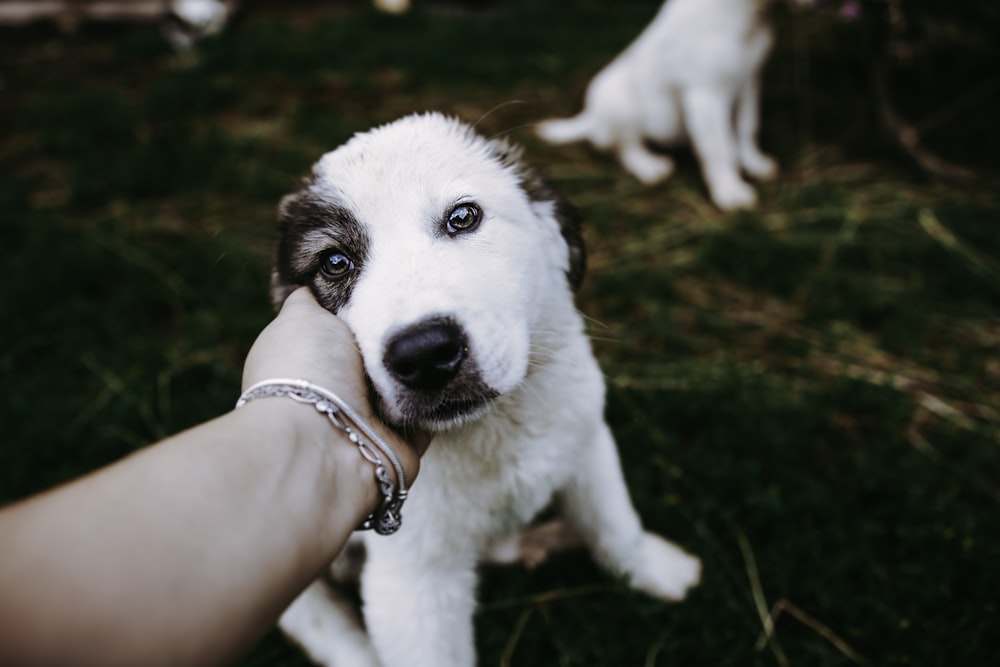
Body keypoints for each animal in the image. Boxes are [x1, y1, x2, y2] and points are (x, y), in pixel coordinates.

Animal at [270, 112, 700, 664]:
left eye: (463, 217)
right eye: (334, 263)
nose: (424, 354)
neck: (496, 426)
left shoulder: (586, 441)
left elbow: (613, 520)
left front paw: (654, 568)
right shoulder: (411, 583)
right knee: (322, 624)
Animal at [540, 0, 780, 211]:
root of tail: (592, 118)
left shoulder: (749, 82)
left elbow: (747, 127)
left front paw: (754, 163)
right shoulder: (704, 95)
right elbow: (718, 147)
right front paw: (730, 190)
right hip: (617, 101)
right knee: (625, 148)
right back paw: (649, 166)